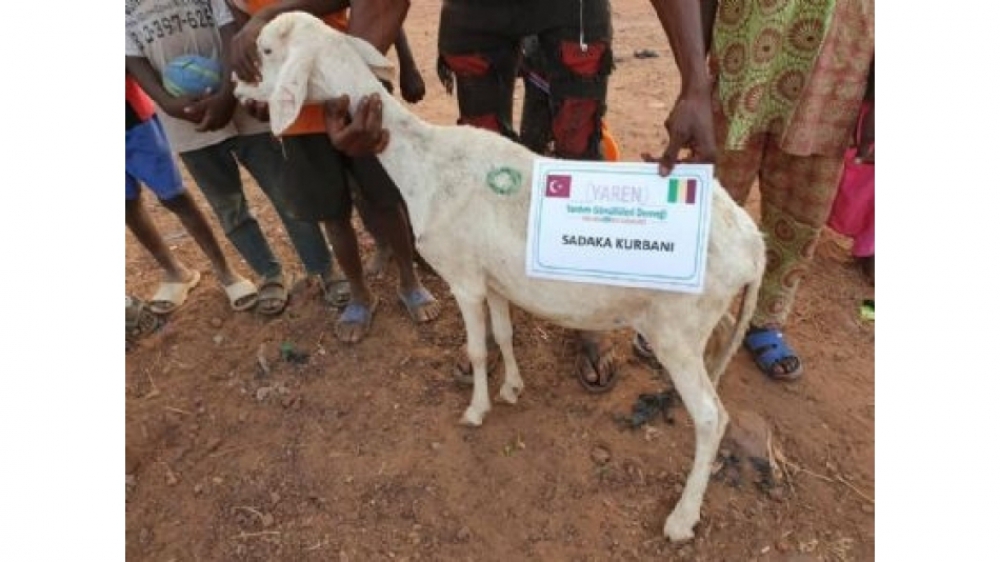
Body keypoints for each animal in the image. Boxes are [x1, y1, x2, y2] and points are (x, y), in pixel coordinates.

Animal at [234, 10, 764, 540]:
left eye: (265, 52)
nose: (239, 89)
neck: (423, 162)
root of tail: (754, 245)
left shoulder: (464, 278)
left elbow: (476, 347)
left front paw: (476, 409)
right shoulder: (494, 280)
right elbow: (505, 334)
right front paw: (511, 388)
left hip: (676, 330)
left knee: (712, 417)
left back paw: (682, 517)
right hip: (705, 322)